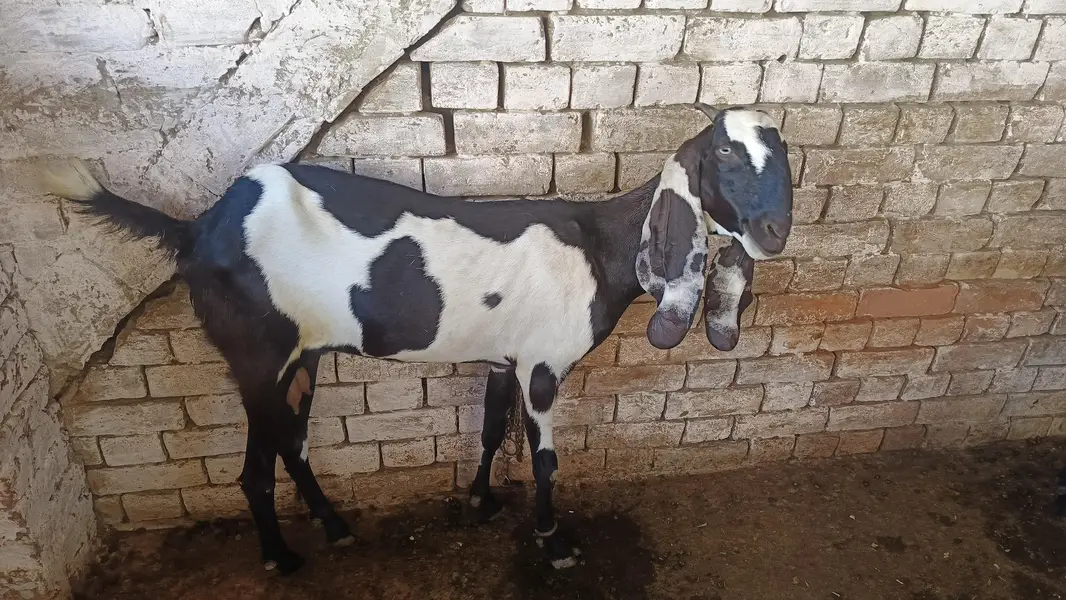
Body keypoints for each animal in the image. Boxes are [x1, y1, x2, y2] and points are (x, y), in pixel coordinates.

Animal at [42, 103, 792, 574]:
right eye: (724, 152)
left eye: (784, 155)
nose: (775, 231)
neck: (596, 246)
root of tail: (198, 229)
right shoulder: (542, 365)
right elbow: (545, 460)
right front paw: (553, 542)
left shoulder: (505, 356)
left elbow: (488, 429)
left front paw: (481, 502)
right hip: (256, 354)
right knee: (259, 462)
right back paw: (282, 557)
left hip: (303, 355)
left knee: (293, 441)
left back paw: (335, 528)